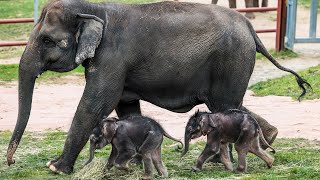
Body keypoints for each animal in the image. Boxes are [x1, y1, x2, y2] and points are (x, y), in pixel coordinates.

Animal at [5, 0, 310, 174]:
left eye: (47, 40)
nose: (10, 162)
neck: (92, 8)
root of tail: (250, 28)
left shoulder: (112, 56)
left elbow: (96, 103)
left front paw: (55, 168)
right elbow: (125, 105)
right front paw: (134, 163)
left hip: (232, 60)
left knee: (225, 105)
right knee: (227, 105)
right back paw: (270, 137)